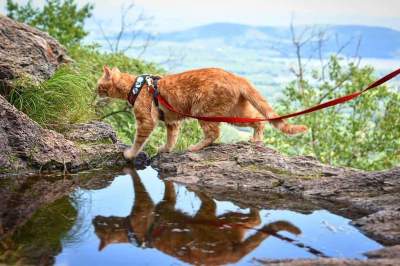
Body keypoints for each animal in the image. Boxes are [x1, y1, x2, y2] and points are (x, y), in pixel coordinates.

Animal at [97, 65, 306, 159]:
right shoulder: (172, 122)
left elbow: (138, 141)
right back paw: (256, 140)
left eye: (99, 85)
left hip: (204, 111)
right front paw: (166, 149)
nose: (94, 91)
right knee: (258, 120)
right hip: (235, 112)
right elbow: (171, 138)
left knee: (214, 133)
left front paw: (130, 154)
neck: (136, 86)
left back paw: (196, 147)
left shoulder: (146, 120)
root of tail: (236, 76)